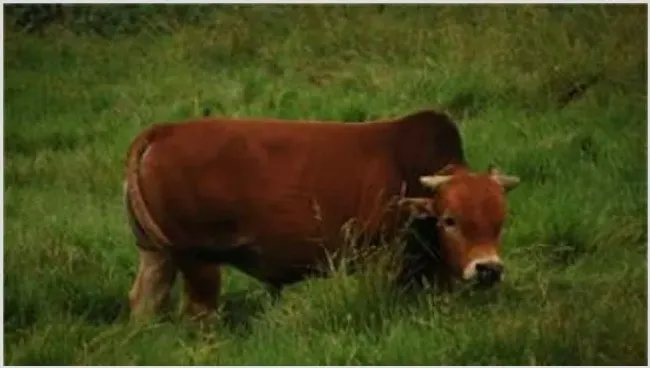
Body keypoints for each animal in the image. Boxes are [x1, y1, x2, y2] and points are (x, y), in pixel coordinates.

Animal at [121, 109, 516, 320]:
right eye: (449, 219)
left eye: (500, 221)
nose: (488, 269)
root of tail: (163, 131)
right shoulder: (382, 262)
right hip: (198, 262)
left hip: (156, 255)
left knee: (145, 302)